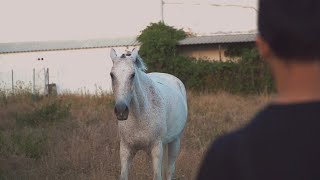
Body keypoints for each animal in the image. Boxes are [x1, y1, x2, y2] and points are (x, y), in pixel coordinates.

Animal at [110, 48, 189, 179]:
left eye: (132, 75)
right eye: (112, 75)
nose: (121, 110)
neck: (139, 116)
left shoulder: (156, 149)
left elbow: (157, 176)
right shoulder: (126, 149)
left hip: (175, 142)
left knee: (170, 171)